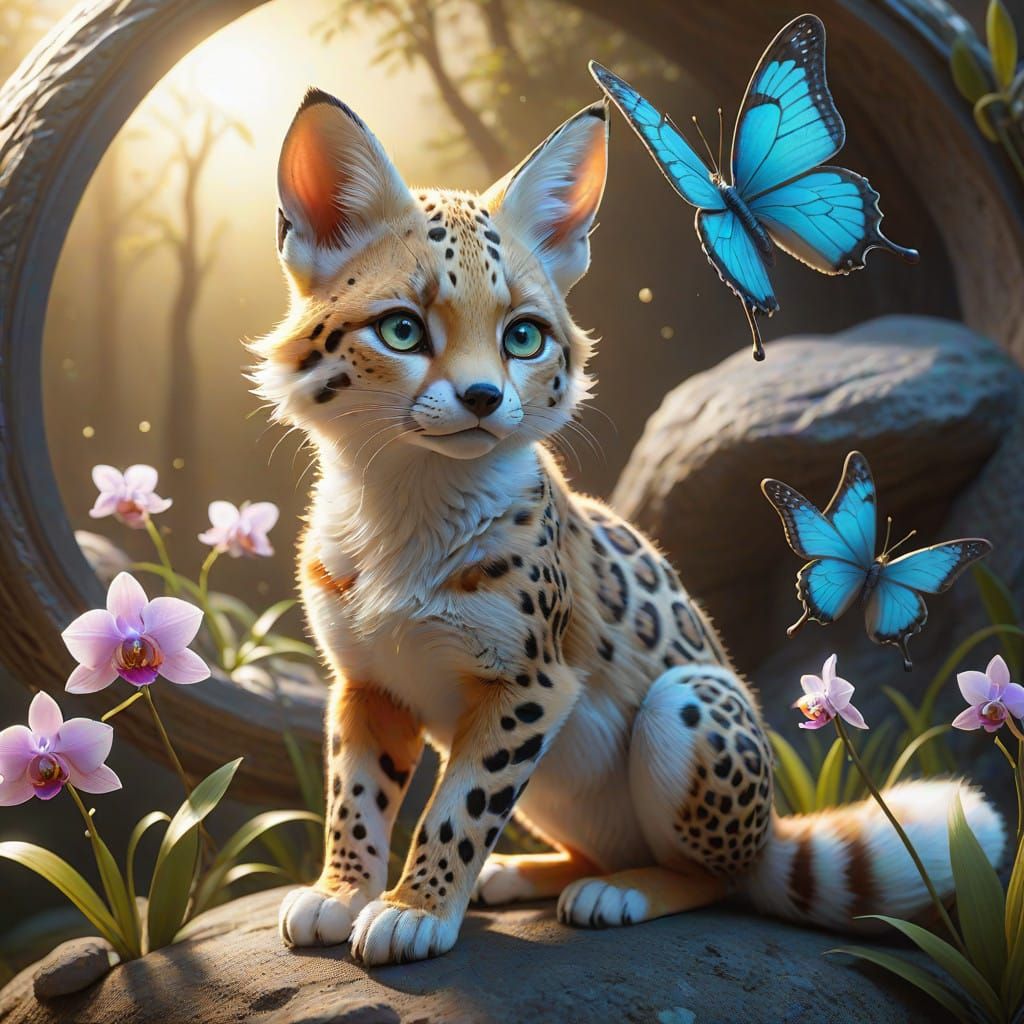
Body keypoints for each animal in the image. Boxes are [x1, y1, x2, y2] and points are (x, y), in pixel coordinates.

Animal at [251, 87, 1004, 966]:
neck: (405, 507)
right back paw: (523, 873)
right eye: (402, 328)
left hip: (687, 701)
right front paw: (340, 894)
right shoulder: (366, 680)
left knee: (721, 879)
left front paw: (414, 911)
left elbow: (459, 807)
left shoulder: (530, 683)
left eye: (523, 336)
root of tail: (772, 828)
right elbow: (357, 795)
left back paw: (619, 893)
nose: (483, 397)